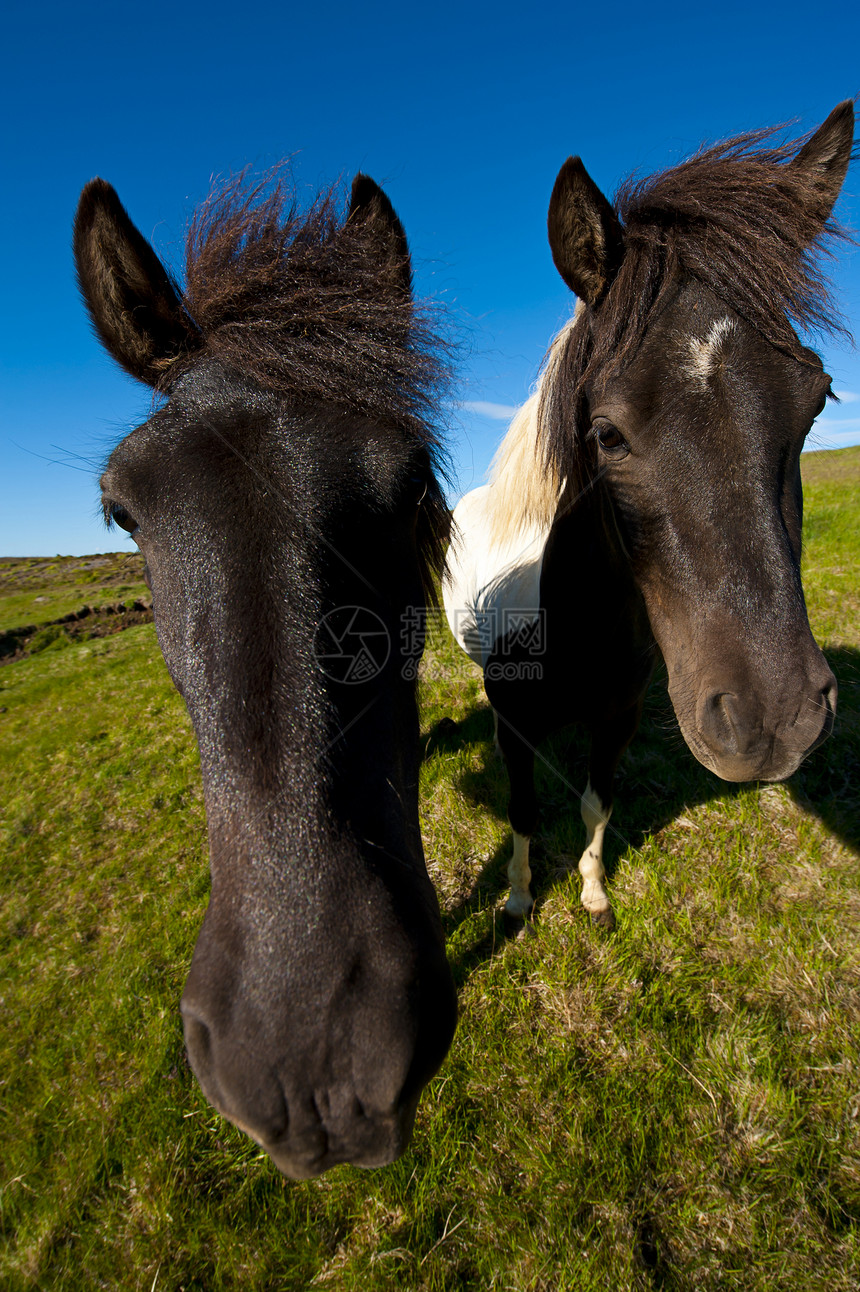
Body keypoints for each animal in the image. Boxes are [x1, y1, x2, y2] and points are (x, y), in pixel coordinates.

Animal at [441, 100, 852, 930]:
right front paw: (520, 898)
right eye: (606, 433)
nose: (773, 720)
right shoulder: (512, 726)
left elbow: (597, 803)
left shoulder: (618, 717)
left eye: (819, 398)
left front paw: (594, 893)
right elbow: (524, 813)